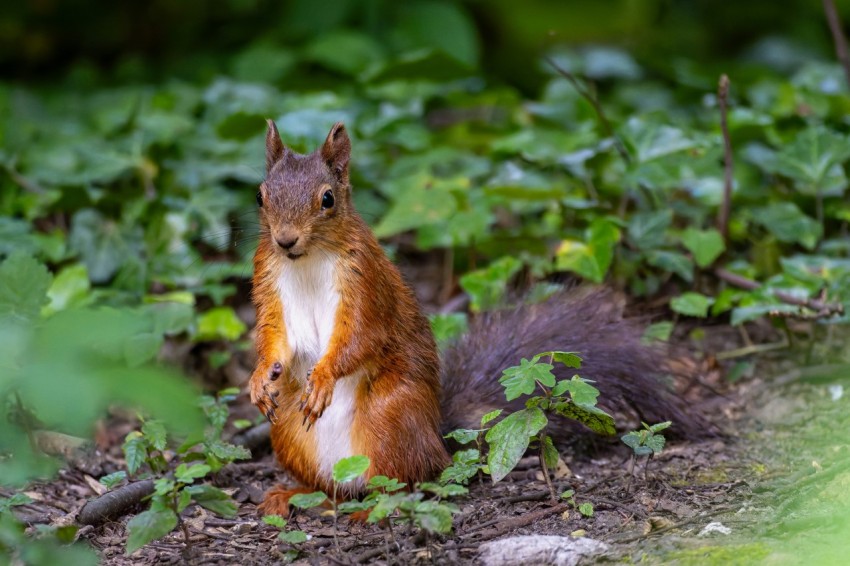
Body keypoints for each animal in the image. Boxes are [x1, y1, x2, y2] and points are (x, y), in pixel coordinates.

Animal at [247, 121, 708, 520]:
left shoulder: (366, 286)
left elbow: (360, 336)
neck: (307, 260)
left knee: (410, 483)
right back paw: (294, 494)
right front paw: (259, 377)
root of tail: (438, 438)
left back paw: (375, 509)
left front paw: (324, 377)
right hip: (289, 431)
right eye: (260, 196)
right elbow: (275, 337)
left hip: (389, 417)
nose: (285, 240)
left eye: (327, 199)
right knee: (336, 489)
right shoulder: (270, 284)